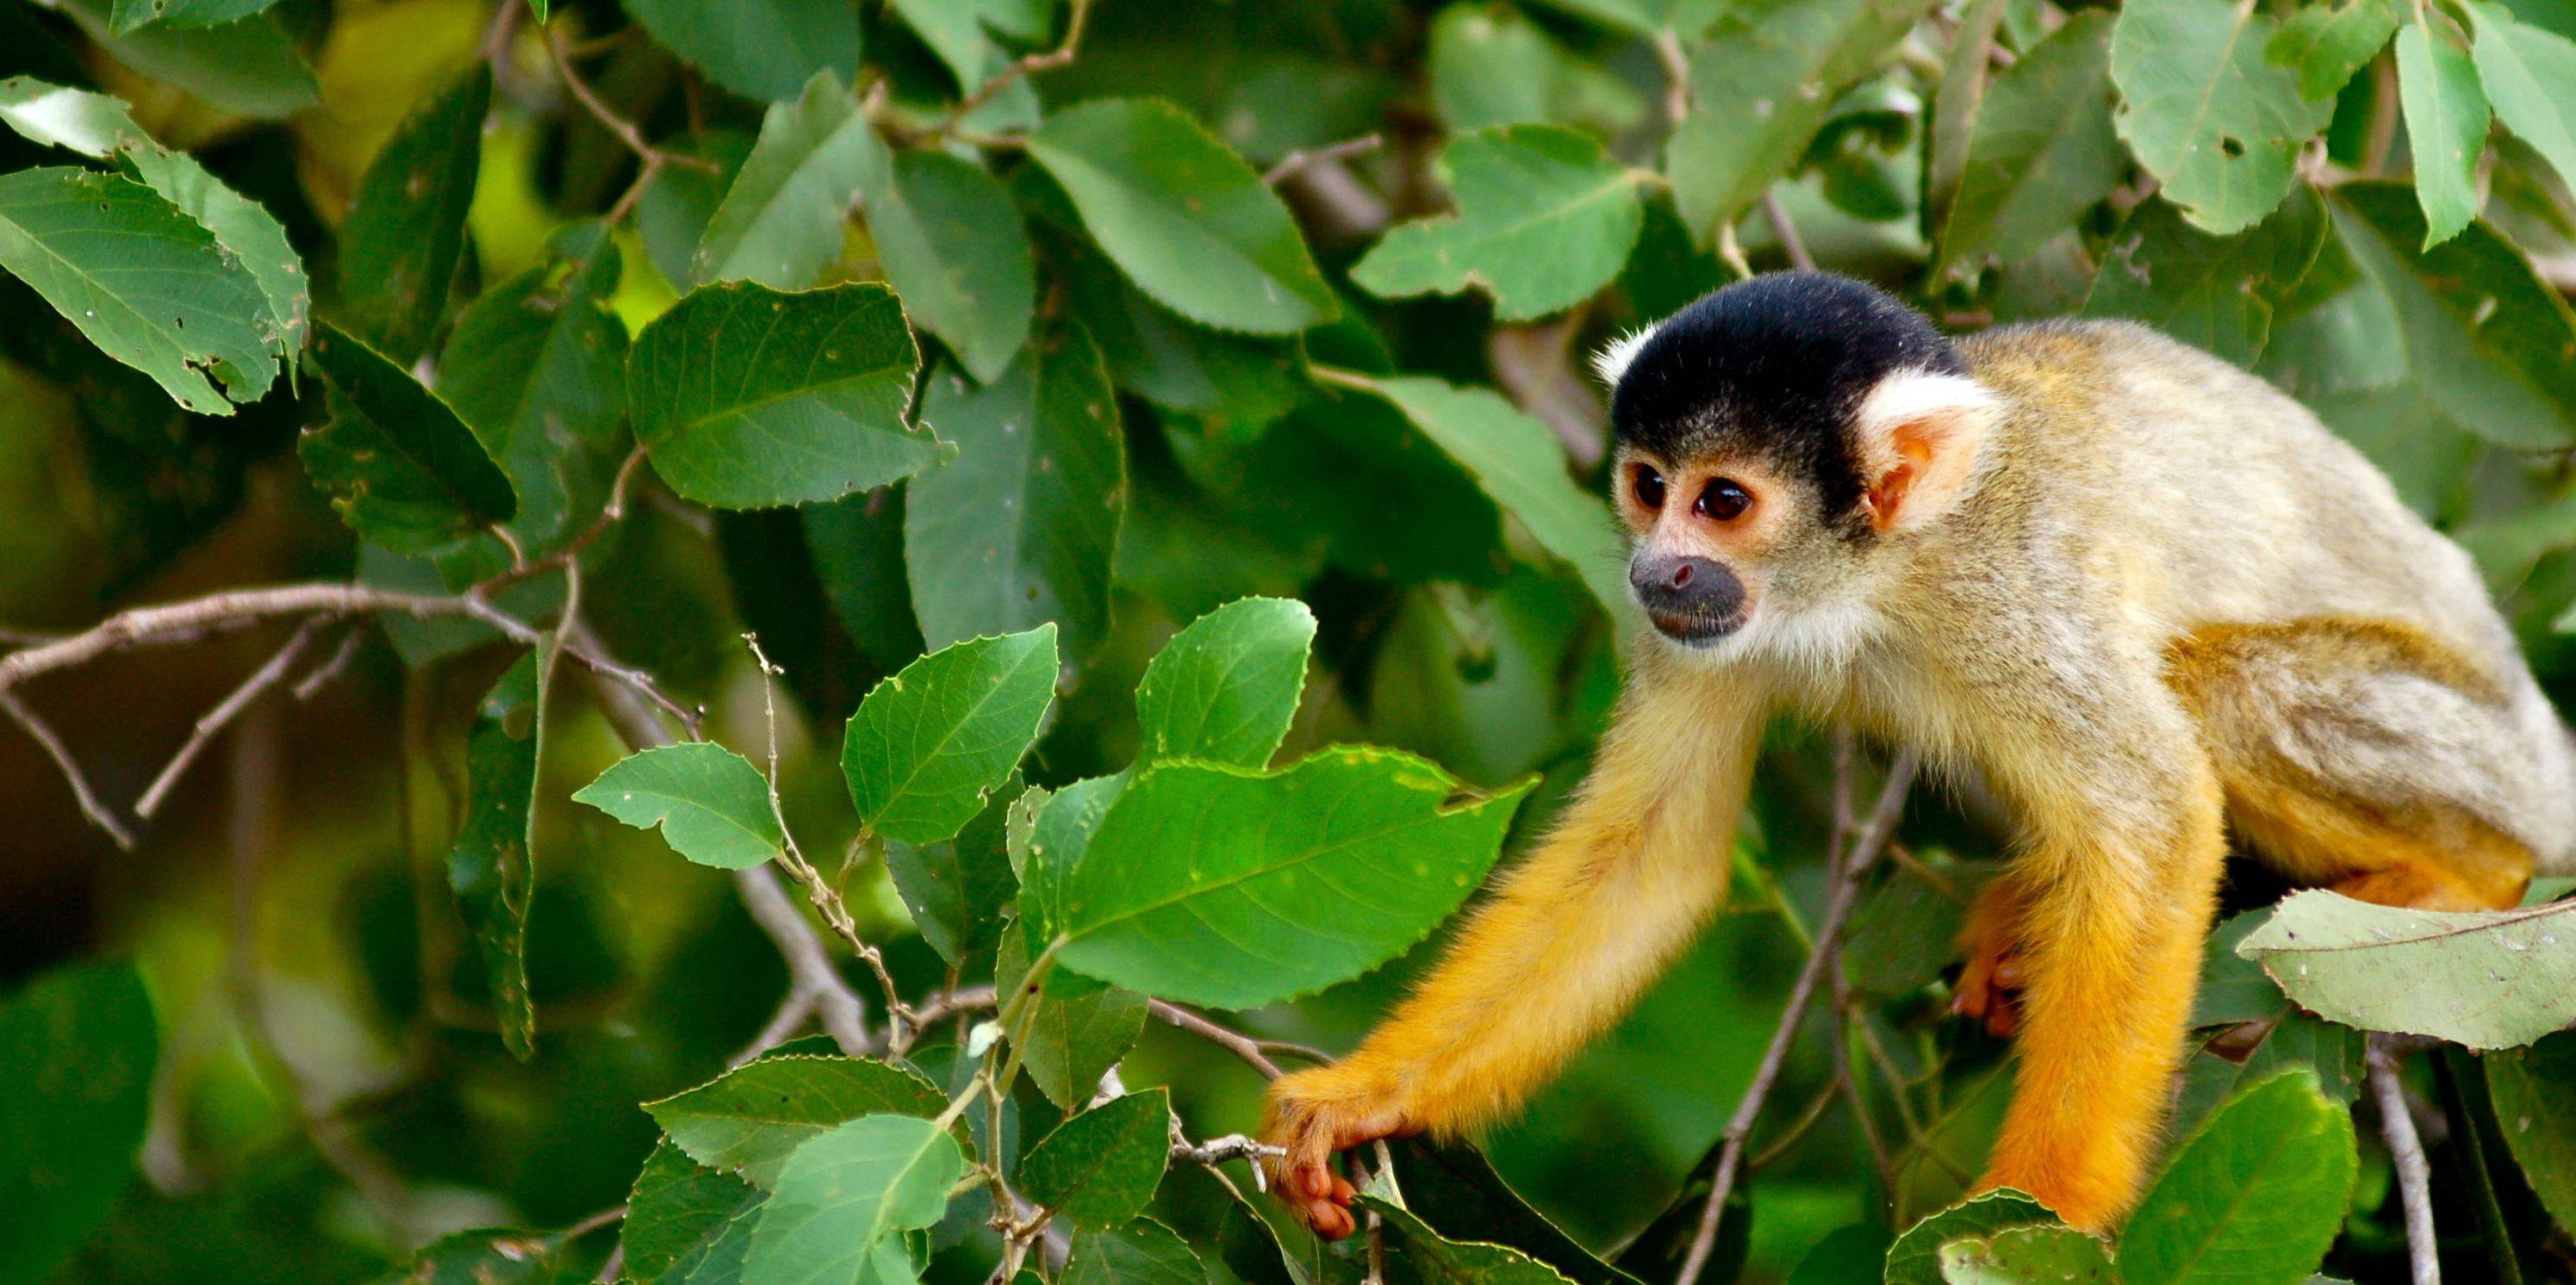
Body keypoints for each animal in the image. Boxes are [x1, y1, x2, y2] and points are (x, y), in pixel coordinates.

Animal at [1267, 276, 2576, 1241]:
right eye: (1646, 488)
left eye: (1722, 501)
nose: (1651, 570)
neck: (1877, 577)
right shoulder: (1702, 629)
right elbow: (1653, 853)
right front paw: (1362, 1096)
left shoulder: (2012, 594)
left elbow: (2152, 818)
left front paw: (2039, 1208)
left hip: (2485, 754)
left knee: (2221, 688)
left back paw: (2455, 882)